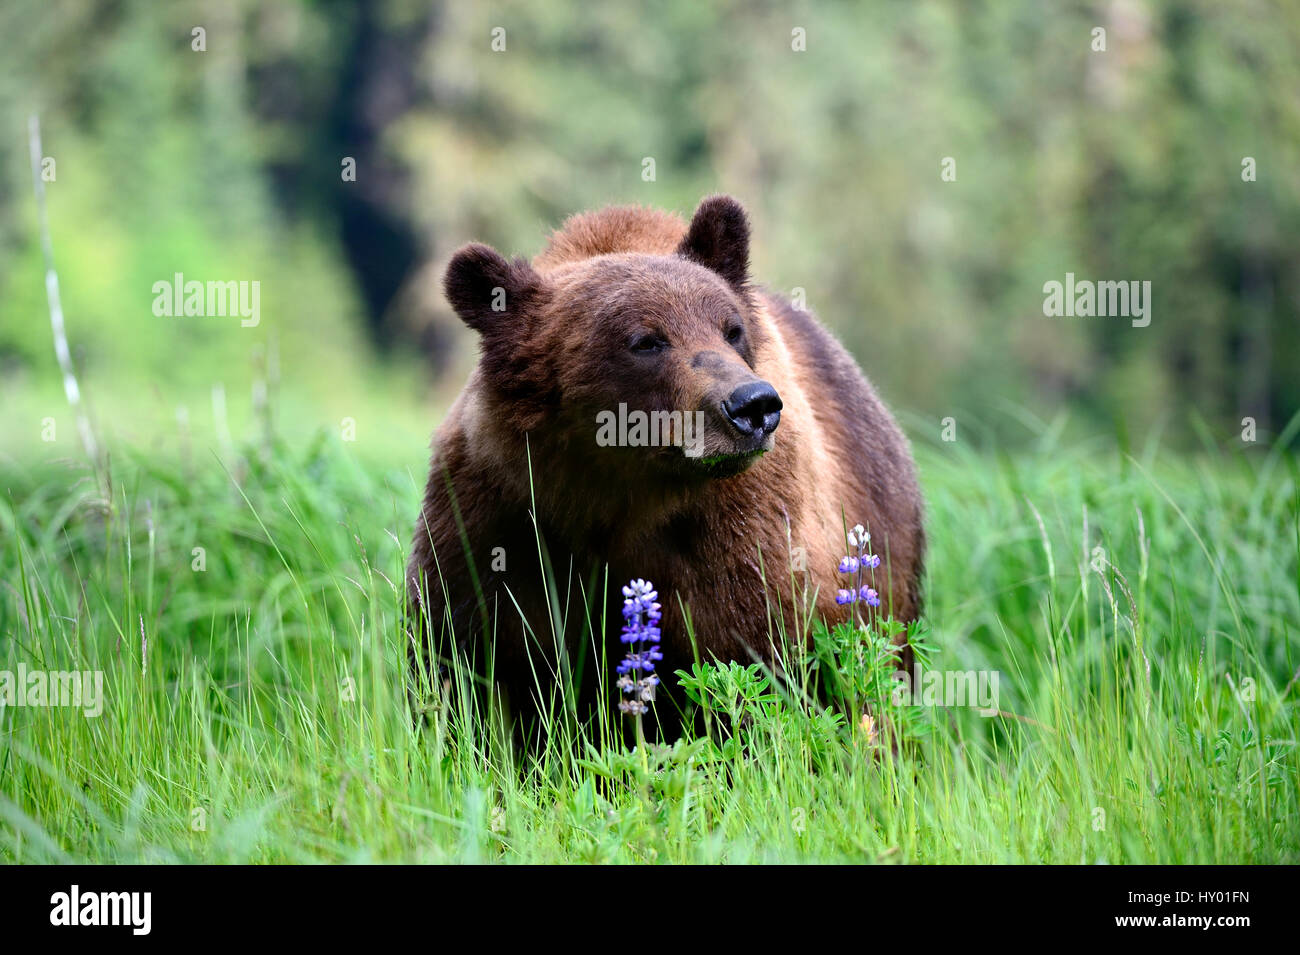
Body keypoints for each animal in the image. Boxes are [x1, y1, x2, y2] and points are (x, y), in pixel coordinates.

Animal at [405, 196, 925, 722]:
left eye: (732, 330)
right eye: (646, 340)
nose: (753, 405)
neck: (619, 491)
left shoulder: (743, 535)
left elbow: (757, 660)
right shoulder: (497, 521)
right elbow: (472, 669)